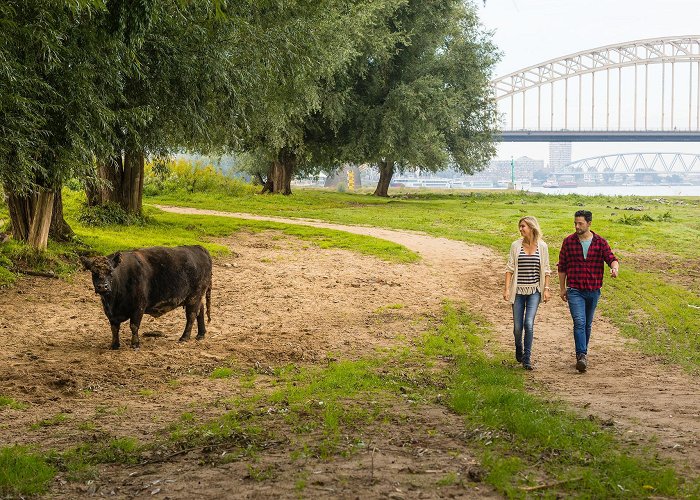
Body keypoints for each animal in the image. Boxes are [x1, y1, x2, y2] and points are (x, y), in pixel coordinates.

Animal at [80, 245, 212, 348]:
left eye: (111, 272)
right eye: (94, 273)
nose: (103, 286)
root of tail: (198, 248)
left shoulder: (139, 306)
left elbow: (134, 326)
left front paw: (135, 344)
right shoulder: (110, 313)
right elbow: (114, 328)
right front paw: (114, 345)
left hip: (194, 297)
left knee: (191, 316)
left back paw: (184, 337)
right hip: (196, 298)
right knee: (200, 310)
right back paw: (200, 334)